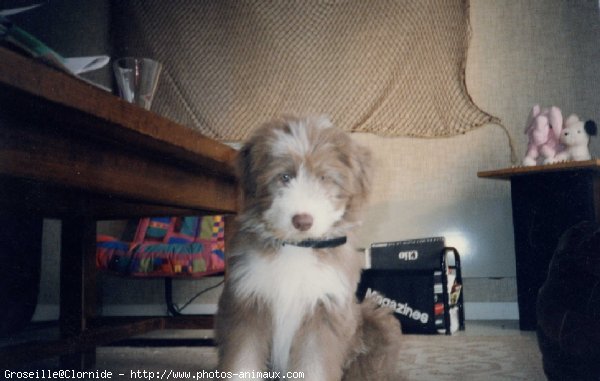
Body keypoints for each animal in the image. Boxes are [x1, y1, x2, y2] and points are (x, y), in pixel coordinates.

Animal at [217, 114, 404, 378]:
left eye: (324, 178)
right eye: (284, 177)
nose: (302, 221)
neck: (298, 248)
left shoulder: (323, 310)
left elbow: (314, 366)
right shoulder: (248, 305)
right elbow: (243, 363)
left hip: (374, 320)